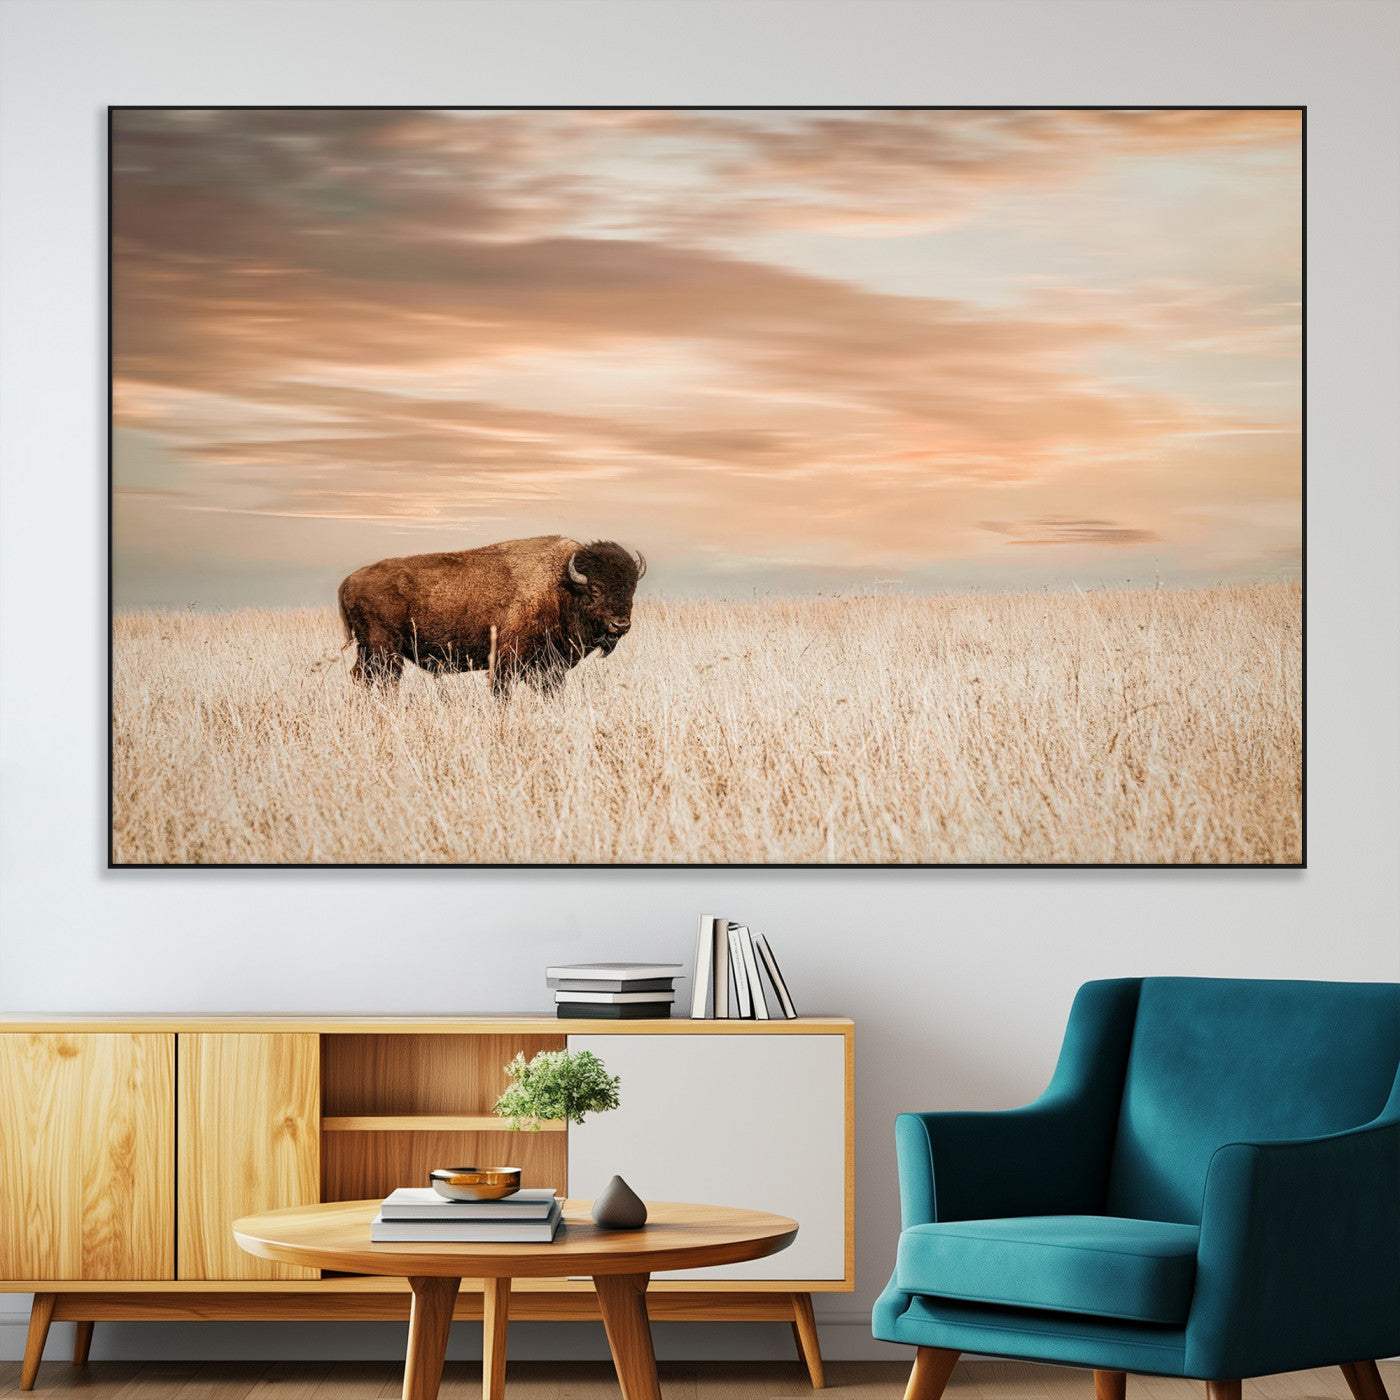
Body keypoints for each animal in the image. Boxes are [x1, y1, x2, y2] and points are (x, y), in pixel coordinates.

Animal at [338, 534, 646, 696]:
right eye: (595, 589)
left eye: (631, 588)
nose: (620, 625)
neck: (561, 586)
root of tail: (349, 580)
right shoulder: (507, 659)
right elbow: (502, 691)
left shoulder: (548, 667)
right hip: (383, 649)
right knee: (384, 679)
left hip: (369, 650)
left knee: (362, 676)